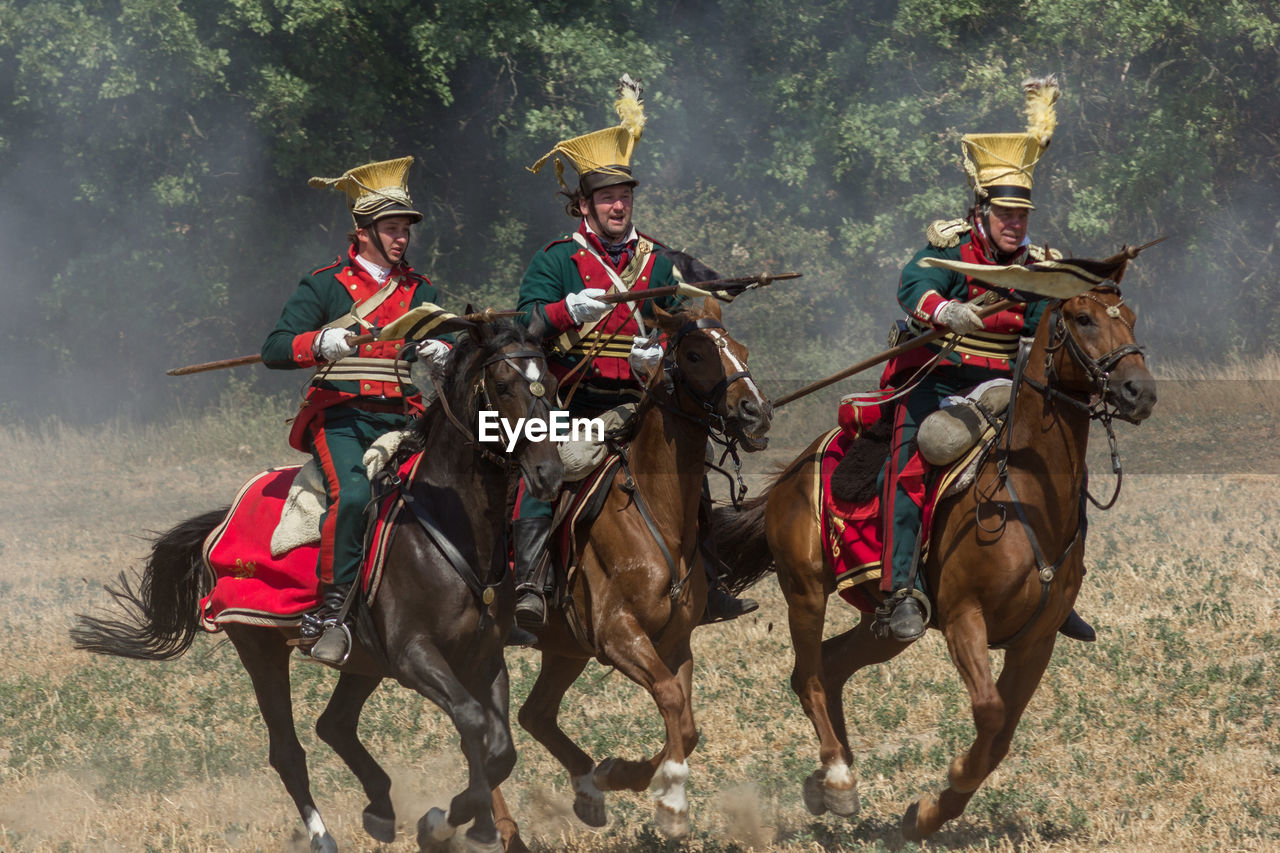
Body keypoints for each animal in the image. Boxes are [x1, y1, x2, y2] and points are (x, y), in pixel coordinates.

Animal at [72, 318, 563, 850]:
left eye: (551, 383)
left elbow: (500, 749)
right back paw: (323, 834)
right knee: (287, 750)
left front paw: (473, 823)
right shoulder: (415, 656)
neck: (449, 525)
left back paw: (381, 807)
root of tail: (224, 517)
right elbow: (473, 722)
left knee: (335, 725)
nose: (549, 472)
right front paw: (442, 821)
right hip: (260, 648)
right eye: (504, 385)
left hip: (364, 661)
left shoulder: (484, 658)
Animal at [496, 297, 768, 835]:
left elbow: (687, 722)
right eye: (696, 355)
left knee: (534, 715)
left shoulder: (674, 642)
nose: (756, 413)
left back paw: (587, 790)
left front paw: (625, 776)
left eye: (742, 349)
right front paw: (669, 799)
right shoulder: (619, 636)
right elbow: (669, 699)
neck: (654, 511)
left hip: (564, 649)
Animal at [716, 281, 1157, 840]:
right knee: (808, 676)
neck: (1025, 496)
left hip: (885, 626)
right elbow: (990, 714)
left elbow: (1001, 736)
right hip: (805, 593)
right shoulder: (965, 619)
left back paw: (828, 778)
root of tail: (791, 473)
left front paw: (926, 815)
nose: (1139, 391)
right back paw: (837, 776)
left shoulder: (1036, 641)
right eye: (1083, 319)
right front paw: (943, 792)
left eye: (1132, 319)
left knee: (832, 665)